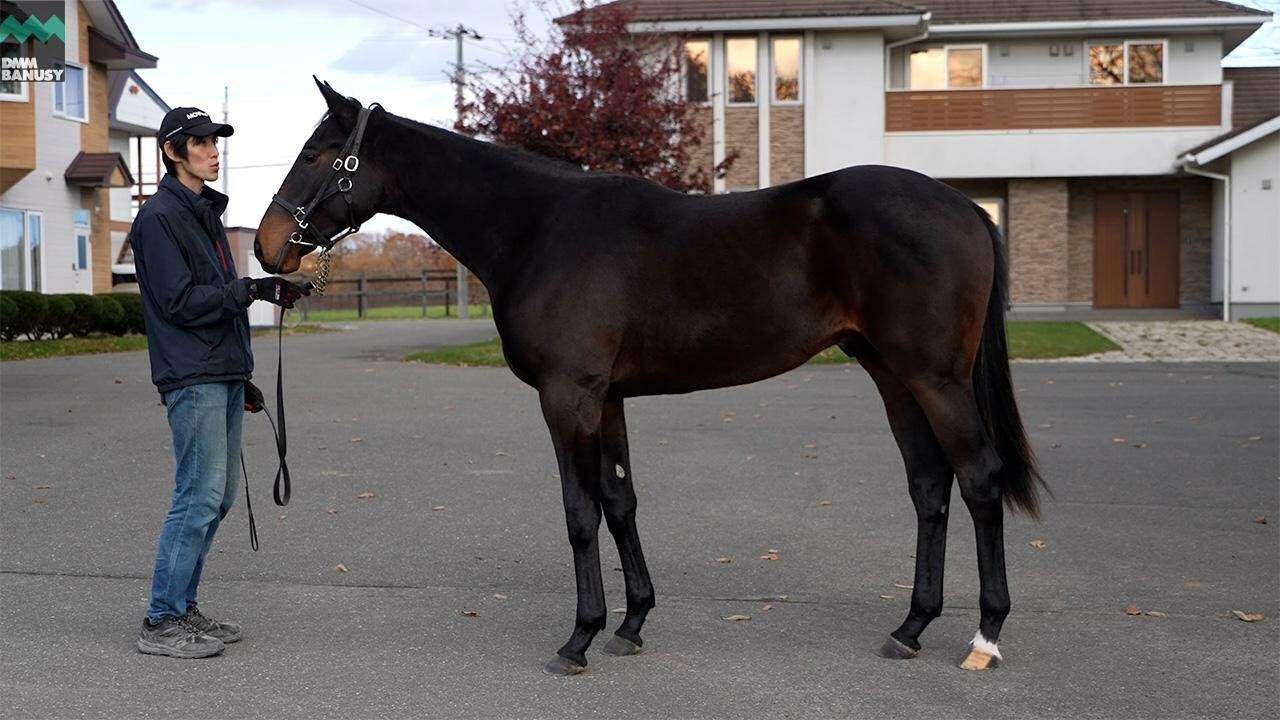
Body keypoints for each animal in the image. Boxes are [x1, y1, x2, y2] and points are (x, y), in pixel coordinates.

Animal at [254, 81, 1044, 676]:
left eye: (319, 153)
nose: (266, 247)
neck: (540, 227)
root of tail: (968, 208)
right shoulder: (606, 399)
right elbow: (619, 502)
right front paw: (631, 624)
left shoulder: (567, 396)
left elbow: (579, 512)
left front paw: (579, 638)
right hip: (891, 373)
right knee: (929, 487)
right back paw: (910, 628)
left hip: (935, 378)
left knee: (979, 480)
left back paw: (985, 637)